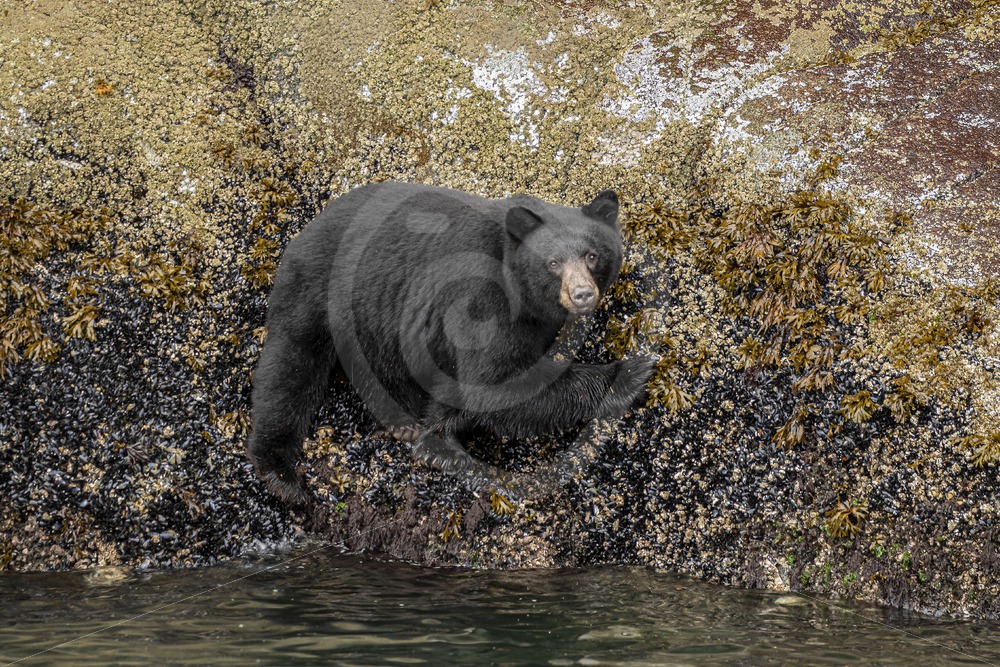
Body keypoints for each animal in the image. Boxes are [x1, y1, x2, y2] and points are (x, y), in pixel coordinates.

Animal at [247, 182, 655, 503]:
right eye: (553, 263)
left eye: (592, 255)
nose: (582, 294)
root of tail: (308, 228)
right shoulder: (481, 296)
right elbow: (491, 384)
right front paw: (632, 371)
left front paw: (438, 439)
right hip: (318, 286)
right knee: (289, 367)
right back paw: (281, 474)